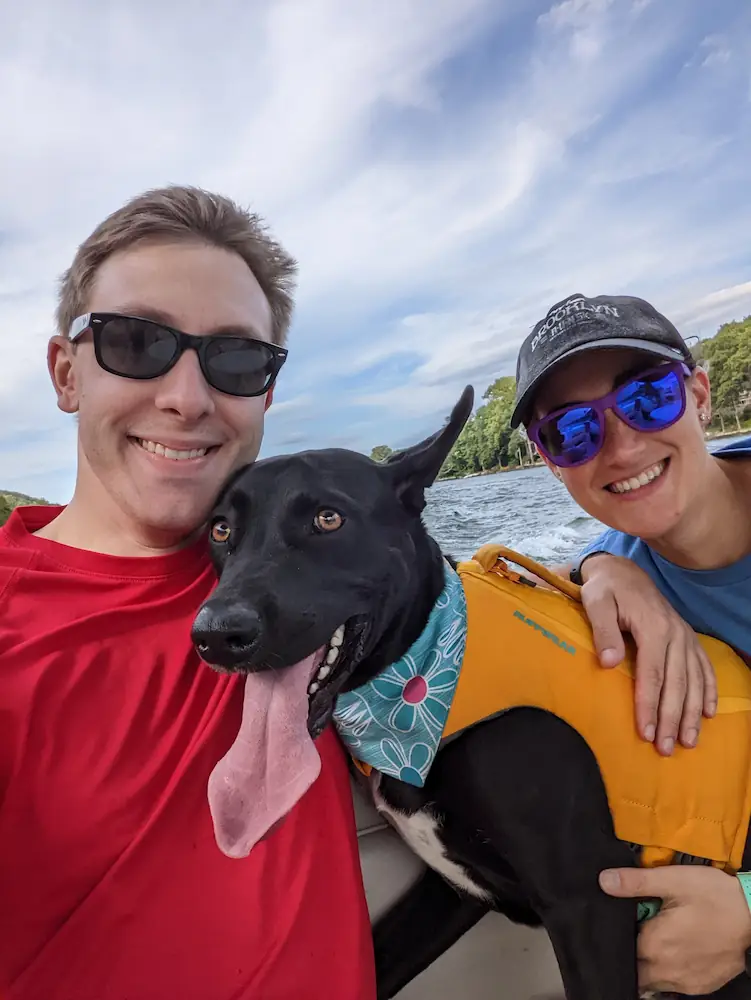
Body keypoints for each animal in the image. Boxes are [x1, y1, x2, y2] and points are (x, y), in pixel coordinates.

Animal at [191, 386, 751, 996]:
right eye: (220, 531)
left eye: (328, 518)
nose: (215, 636)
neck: (424, 683)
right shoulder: (451, 891)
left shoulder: (587, 904)